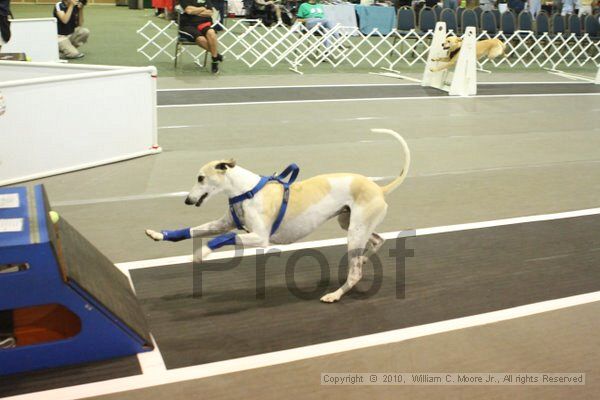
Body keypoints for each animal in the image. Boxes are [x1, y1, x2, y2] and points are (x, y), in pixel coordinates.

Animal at [145, 130, 410, 302]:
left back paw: (335, 294)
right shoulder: (223, 223)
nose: (188, 200)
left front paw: (202, 253)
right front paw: (159, 234)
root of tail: (380, 188)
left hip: (354, 233)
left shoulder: (259, 238)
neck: (246, 191)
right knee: (378, 240)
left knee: (355, 273)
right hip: (350, 223)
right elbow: (192, 231)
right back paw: (363, 259)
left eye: (200, 178)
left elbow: (221, 238)